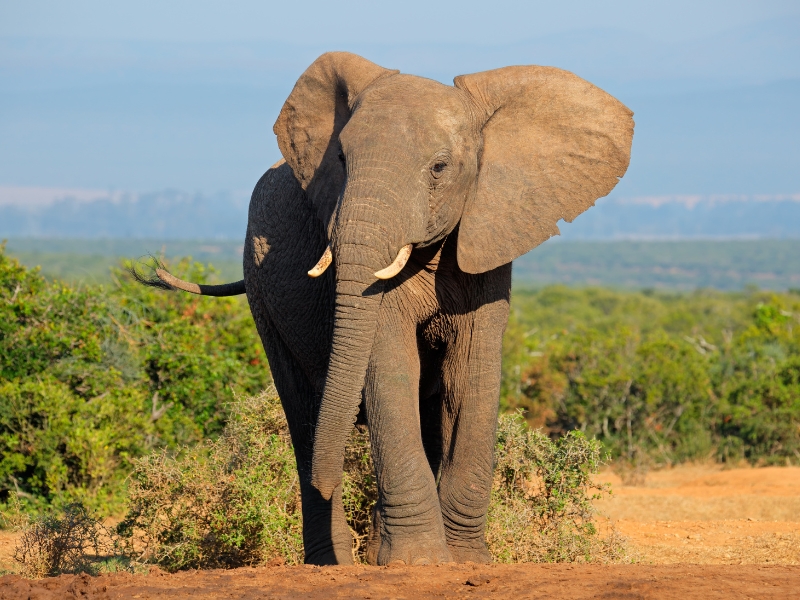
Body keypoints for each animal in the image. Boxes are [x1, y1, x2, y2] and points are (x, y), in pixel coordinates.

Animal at [139, 51, 636, 568]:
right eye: (340, 159)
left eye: (439, 167)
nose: (329, 479)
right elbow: (391, 367)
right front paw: (418, 563)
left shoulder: (490, 238)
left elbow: (470, 374)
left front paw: (465, 561)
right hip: (260, 287)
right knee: (302, 410)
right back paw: (332, 561)